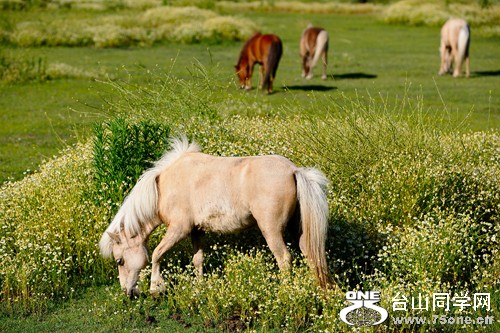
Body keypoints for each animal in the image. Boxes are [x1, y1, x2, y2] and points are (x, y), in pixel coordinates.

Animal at [99, 136, 330, 296]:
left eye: (119, 260)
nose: (128, 292)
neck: (162, 188)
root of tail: (294, 170)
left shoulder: (179, 229)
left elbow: (156, 254)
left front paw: (156, 287)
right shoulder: (196, 231)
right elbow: (197, 260)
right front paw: (200, 288)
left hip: (271, 230)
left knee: (284, 259)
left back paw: (285, 292)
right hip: (299, 230)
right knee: (310, 254)